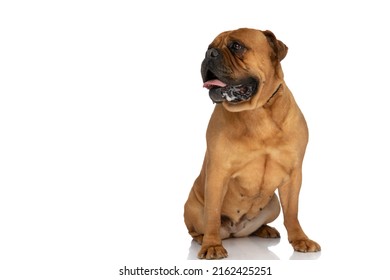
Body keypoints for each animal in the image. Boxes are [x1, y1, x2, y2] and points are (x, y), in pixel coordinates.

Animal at [184, 27, 322, 260]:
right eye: (209, 47)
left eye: (236, 46)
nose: (209, 54)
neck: (256, 111)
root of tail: (235, 231)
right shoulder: (217, 173)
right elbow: (212, 213)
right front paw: (212, 245)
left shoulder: (293, 174)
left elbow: (292, 212)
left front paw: (300, 239)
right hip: (192, 206)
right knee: (198, 227)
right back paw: (203, 238)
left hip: (273, 204)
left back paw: (265, 229)